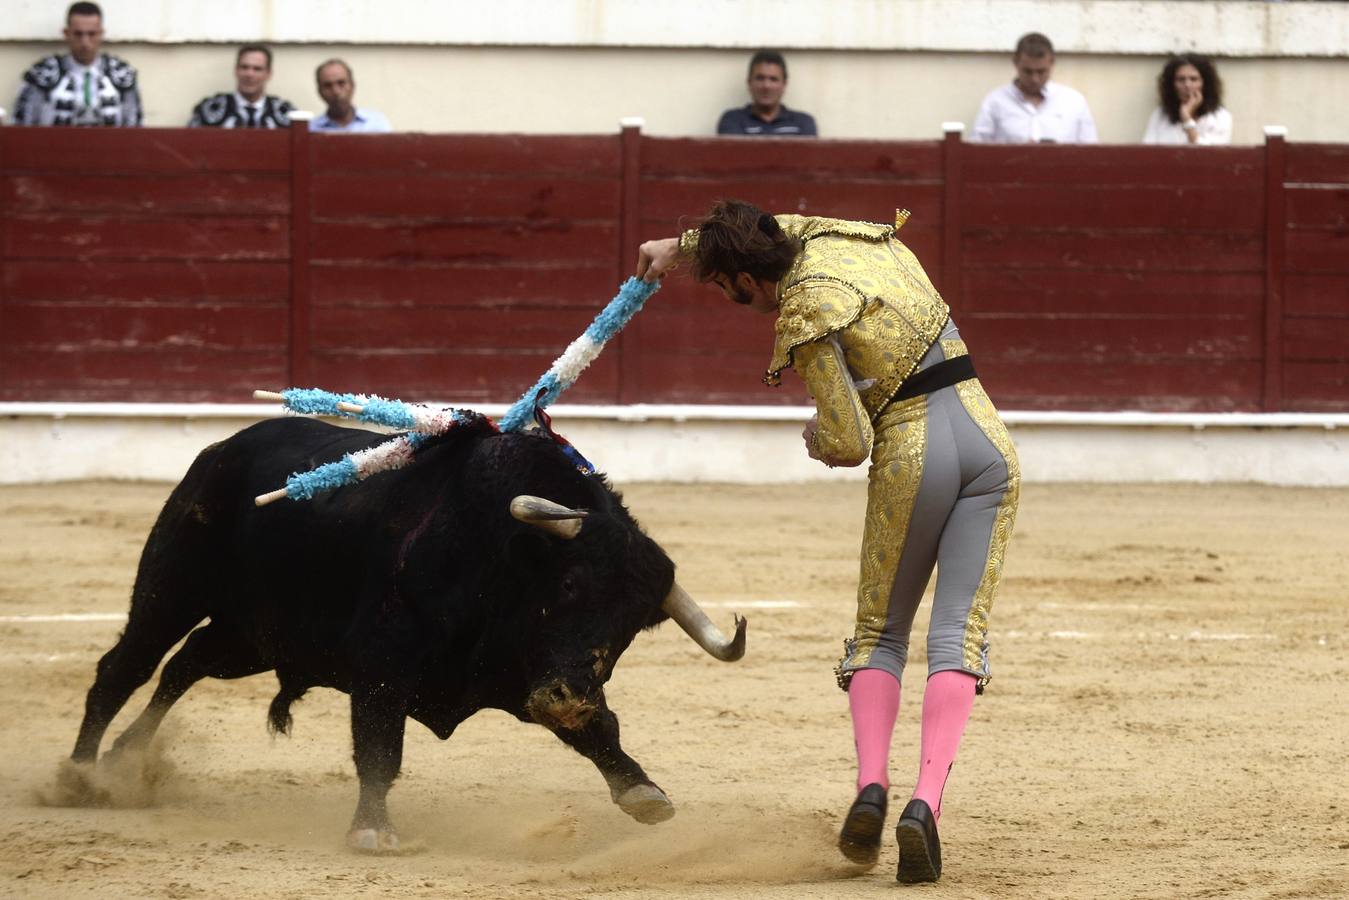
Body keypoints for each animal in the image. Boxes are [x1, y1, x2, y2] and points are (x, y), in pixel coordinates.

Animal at [71, 415, 750, 852]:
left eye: (633, 625)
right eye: (568, 585)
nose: (567, 698)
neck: (500, 561)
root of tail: (220, 448)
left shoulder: (528, 675)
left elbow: (601, 730)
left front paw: (643, 792)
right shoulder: (383, 665)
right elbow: (379, 746)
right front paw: (373, 830)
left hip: (254, 637)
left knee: (186, 664)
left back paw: (127, 759)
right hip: (173, 588)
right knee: (126, 666)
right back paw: (79, 775)